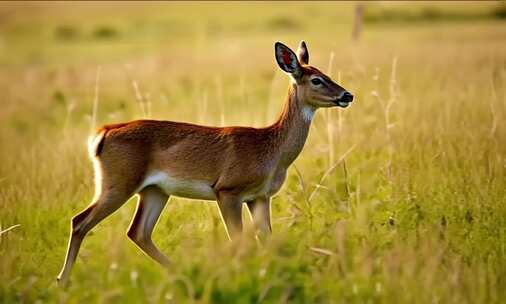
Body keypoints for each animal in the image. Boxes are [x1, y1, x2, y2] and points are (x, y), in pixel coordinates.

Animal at [57, 40, 354, 282]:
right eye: (316, 79)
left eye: (327, 74)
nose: (347, 95)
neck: (270, 150)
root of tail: (102, 133)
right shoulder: (228, 190)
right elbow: (239, 241)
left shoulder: (260, 197)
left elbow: (266, 240)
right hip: (118, 183)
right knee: (80, 221)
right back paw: (63, 281)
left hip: (154, 190)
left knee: (138, 232)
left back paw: (179, 273)